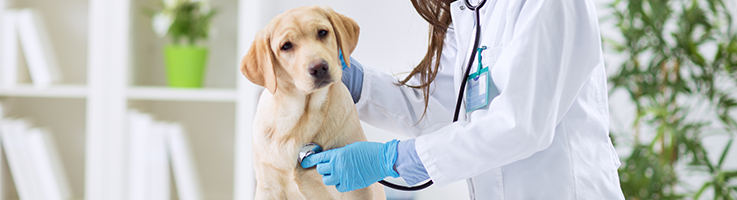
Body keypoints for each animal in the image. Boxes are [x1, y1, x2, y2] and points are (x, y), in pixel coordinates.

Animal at [239, 5, 386, 199]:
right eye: (286, 46)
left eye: (322, 32)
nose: (319, 67)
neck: (299, 119)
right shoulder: (267, 186)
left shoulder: (353, 189)